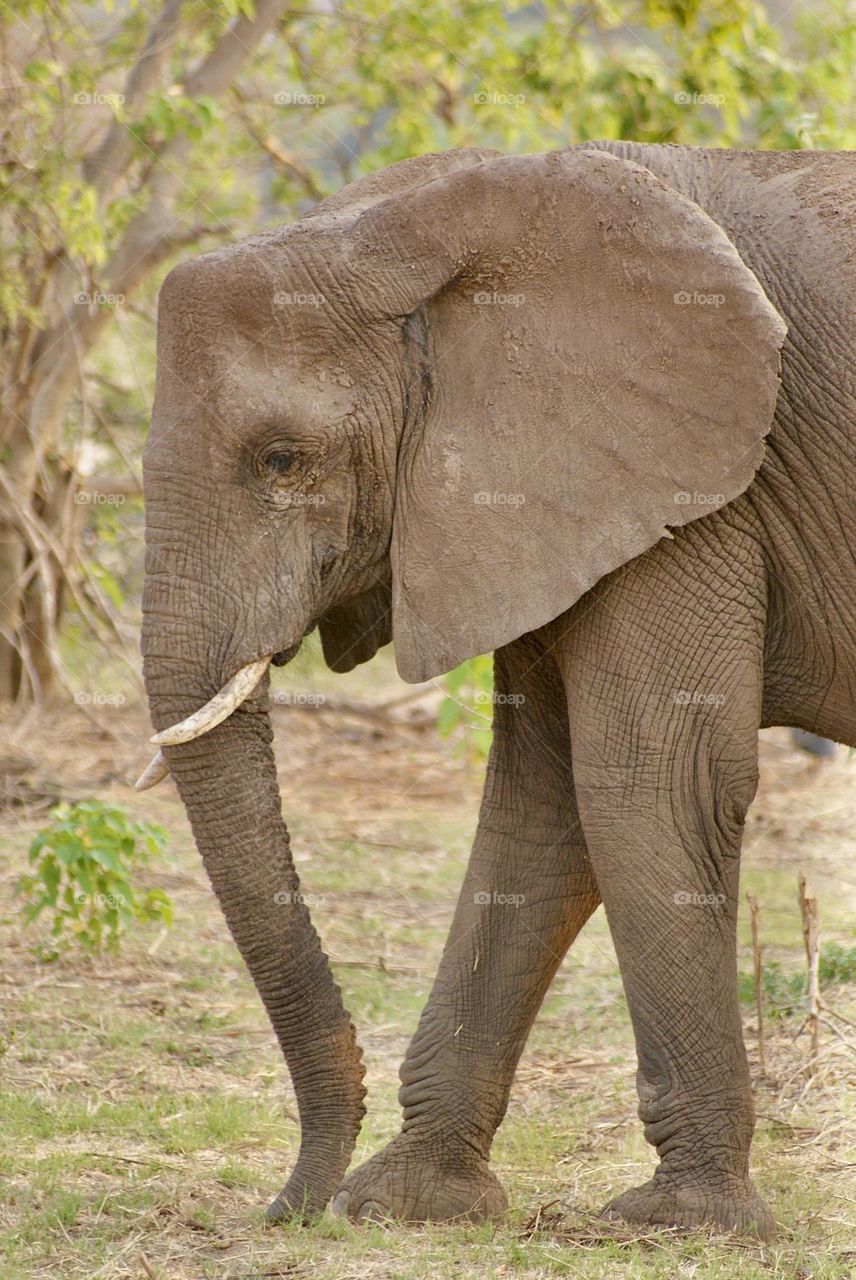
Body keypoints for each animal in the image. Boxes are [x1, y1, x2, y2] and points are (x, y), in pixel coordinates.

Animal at [137, 140, 855, 1241]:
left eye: (281, 460)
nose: (284, 1210)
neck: (417, 224)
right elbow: (543, 801)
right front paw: (404, 1202)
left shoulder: (699, 487)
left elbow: (648, 781)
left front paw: (679, 1222)